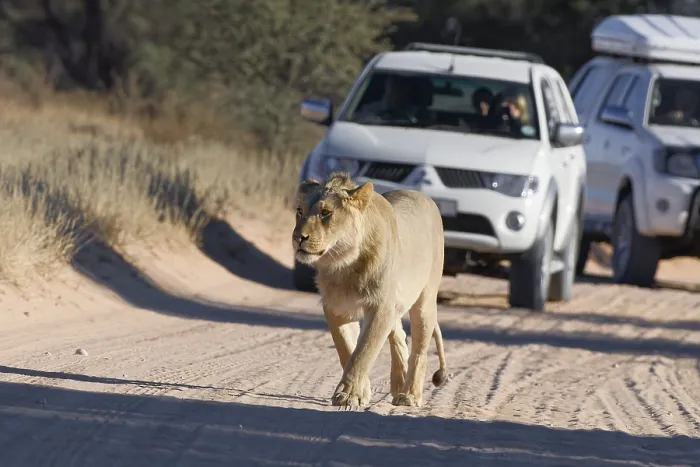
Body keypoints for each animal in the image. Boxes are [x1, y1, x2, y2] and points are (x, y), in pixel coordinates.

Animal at [292, 171, 448, 407]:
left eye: (326, 212)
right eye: (300, 211)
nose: (298, 238)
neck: (344, 264)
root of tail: (424, 196)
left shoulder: (380, 307)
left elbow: (363, 351)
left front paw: (348, 394)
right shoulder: (337, 308)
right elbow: (347, 349)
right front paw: (360, 392)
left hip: (424, 301)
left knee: (419, 351)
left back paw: (409, 395)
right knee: (399, 336)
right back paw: (398, 382)